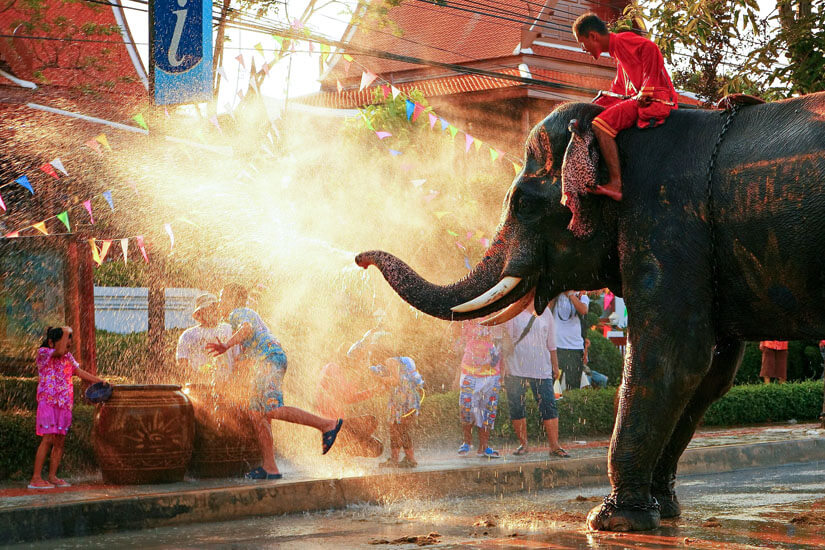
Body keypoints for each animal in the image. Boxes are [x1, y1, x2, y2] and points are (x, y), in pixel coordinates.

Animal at [355, 91, 825, 531]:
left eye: (524, 205)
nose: (359, 258)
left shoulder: (666, 225)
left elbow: (673, 359)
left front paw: (612, 521)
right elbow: (711, 373)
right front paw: (663, 511)